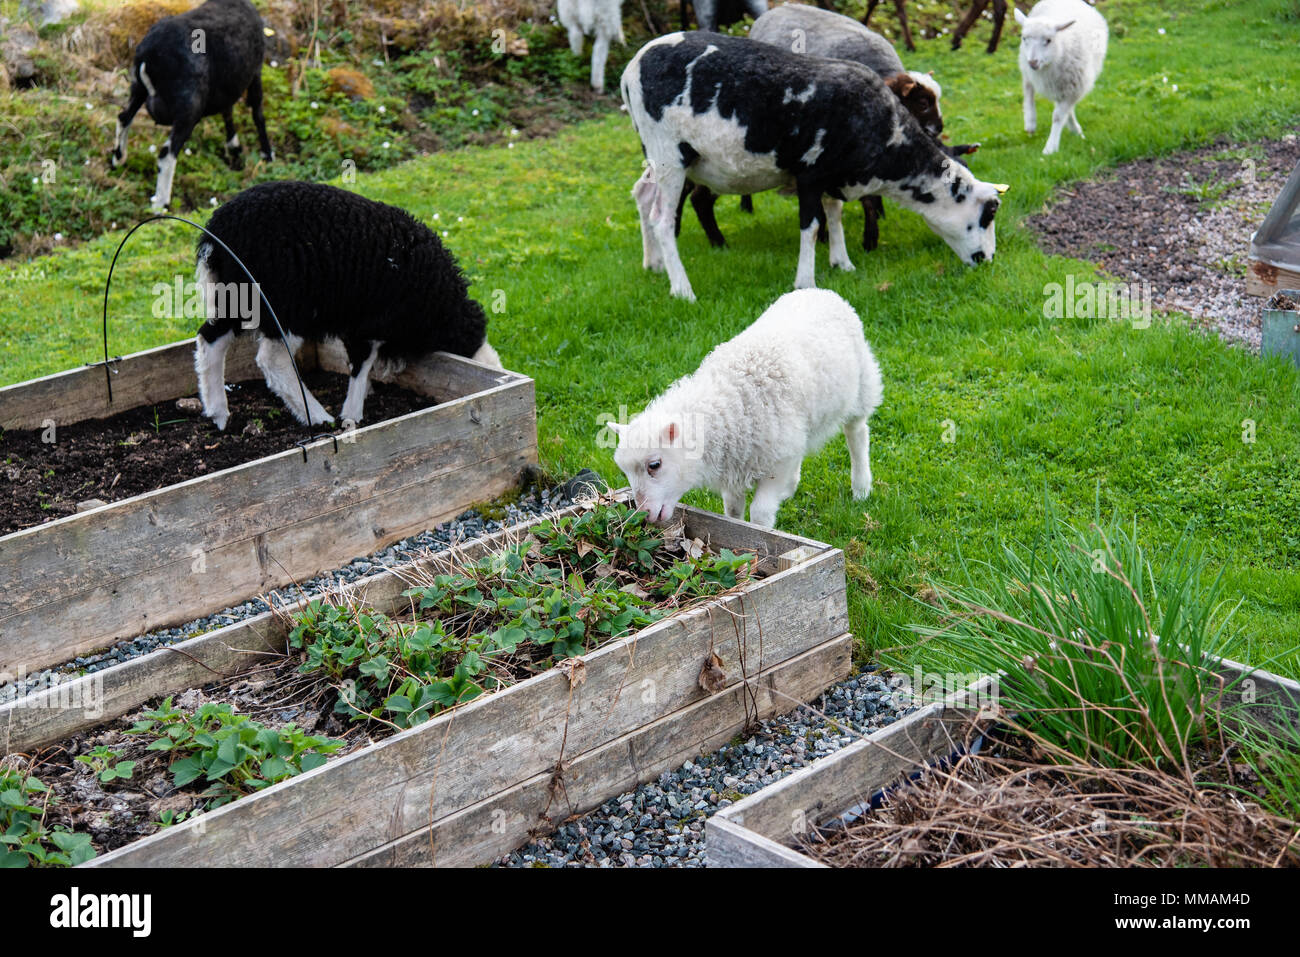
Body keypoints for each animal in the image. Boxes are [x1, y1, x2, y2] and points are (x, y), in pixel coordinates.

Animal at [109, 0, 273, 212]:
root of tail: (149, 57)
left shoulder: (226, 84)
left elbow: (227, 111)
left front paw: (234, 147)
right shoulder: (255, 72)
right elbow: (257, 113)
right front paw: (267, 154)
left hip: (138, 88)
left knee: (124, 118)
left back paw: (118, 159)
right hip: (189, 107)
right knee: (166, 154)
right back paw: (161, 204)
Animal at [193, 181, 502, 433]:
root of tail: (217, 234)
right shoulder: (372, 322)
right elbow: (361, 363)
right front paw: (353, 414)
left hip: (236, 296)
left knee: (210, 339)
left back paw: (219, 414)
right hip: (286, 304)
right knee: (272, 360)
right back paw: (316, 416)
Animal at [610, 288, 882, 529]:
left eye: (654, 465)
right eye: (624, 471)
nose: (643, 515)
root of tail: (820, 291)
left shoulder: (775, 462)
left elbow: (760, 513)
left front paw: (763, 534)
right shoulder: (735, 463)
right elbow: (732, 510)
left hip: (862, 384)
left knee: (857, 433)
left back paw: (861, 488)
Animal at [621, 31, 1003, 300]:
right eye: (988, 214)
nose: (987, 259)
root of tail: (630, 68)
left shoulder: (833, 176)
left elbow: (834, 214)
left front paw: (842, 263)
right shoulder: (809, 173)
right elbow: (812, 225)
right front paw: (805, 280)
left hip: (668, 155)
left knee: (642, 194)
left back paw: (653, 265)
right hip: (668, 152)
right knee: (662, 220)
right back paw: (683, 290)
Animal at [1015, 0, 1107, 155]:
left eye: (1048, 40)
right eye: (1024, 38)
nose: (1033, 62)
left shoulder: (1074, 86)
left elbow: (1058, 116)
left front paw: (1050, 147)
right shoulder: (1029, 71)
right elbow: (1029, 93)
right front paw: (1031, 123)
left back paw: (1075, 128)